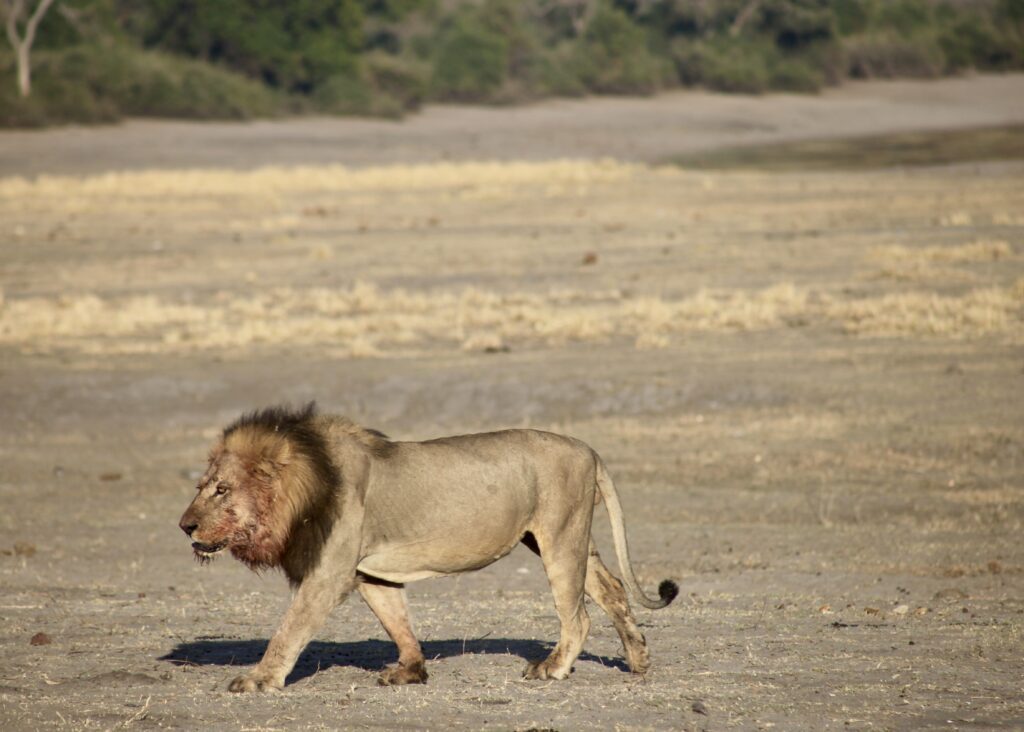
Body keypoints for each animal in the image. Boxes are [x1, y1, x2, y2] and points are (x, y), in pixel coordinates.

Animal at [180, 401, 675, 692]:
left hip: (561, 535)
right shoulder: (368, 570)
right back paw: (638, 660)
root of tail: (587, 448)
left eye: (222, 490)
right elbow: (396, 620)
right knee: (612, 589)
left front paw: (259, 679)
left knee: (578, 615)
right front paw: (411, 670)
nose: (185, 526)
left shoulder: (328, 573)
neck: (306, 485)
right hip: (562, 537)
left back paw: (552, 668)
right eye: (203, 486)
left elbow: (289, 630)